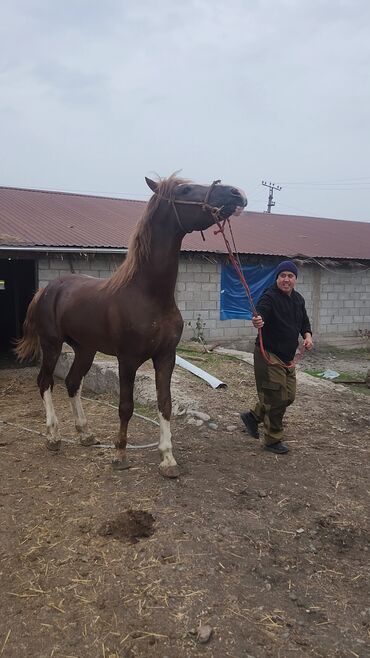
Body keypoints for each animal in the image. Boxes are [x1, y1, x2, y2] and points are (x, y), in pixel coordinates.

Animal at [15, 174, 247, 476]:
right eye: (185, 189)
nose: (236, 193)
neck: (150, 295)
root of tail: (46, 290)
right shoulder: (128, 360)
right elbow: (126, 406)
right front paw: (120, 454)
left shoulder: (166, 357)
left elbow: (165, 403)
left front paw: (168, 459)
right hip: (52, 345)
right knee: (45, 382)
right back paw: (53, 437)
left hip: (85, 350)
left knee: (73, 382)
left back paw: (85, 434)